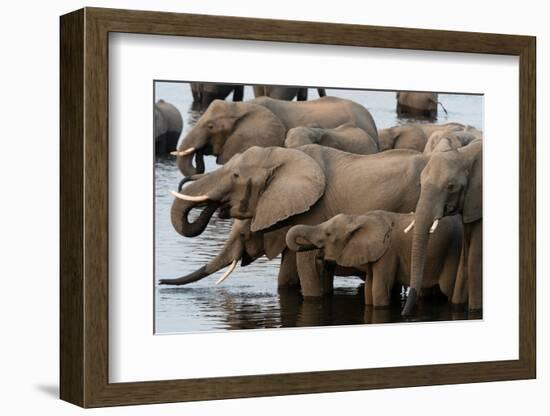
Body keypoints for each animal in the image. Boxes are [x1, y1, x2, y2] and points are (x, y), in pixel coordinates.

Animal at [170, 145, 430, 298]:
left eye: (235, 176)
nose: (163, 281)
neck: (282, 156)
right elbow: (287, 274)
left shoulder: (315, 210)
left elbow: (308, 266)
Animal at [286, 213, 464, 308]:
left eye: (328, 234)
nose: (302, 247)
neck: (357, 217)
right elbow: (369, 289)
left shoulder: (388, 253)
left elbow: (378, 288)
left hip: (452, 253)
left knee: (448, 287)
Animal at [402, 140, 484, 316]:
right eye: (420, 183)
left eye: (451, 187)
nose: (404, 315)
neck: (465, 154)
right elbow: (465, 258)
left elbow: (474, 258)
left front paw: (474, 311)